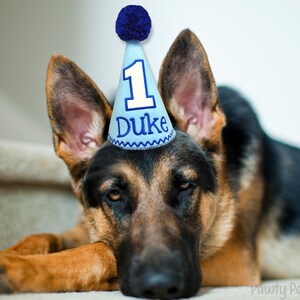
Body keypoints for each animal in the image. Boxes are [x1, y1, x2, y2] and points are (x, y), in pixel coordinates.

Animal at [0, 29, 300, 298]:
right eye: (114, 195)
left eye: (186, 186)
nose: (160, 286)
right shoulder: (86, 227)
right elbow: (43, 236)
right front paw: (12, 253)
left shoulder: (234, 260)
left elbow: (100, 251)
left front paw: (21, 268)